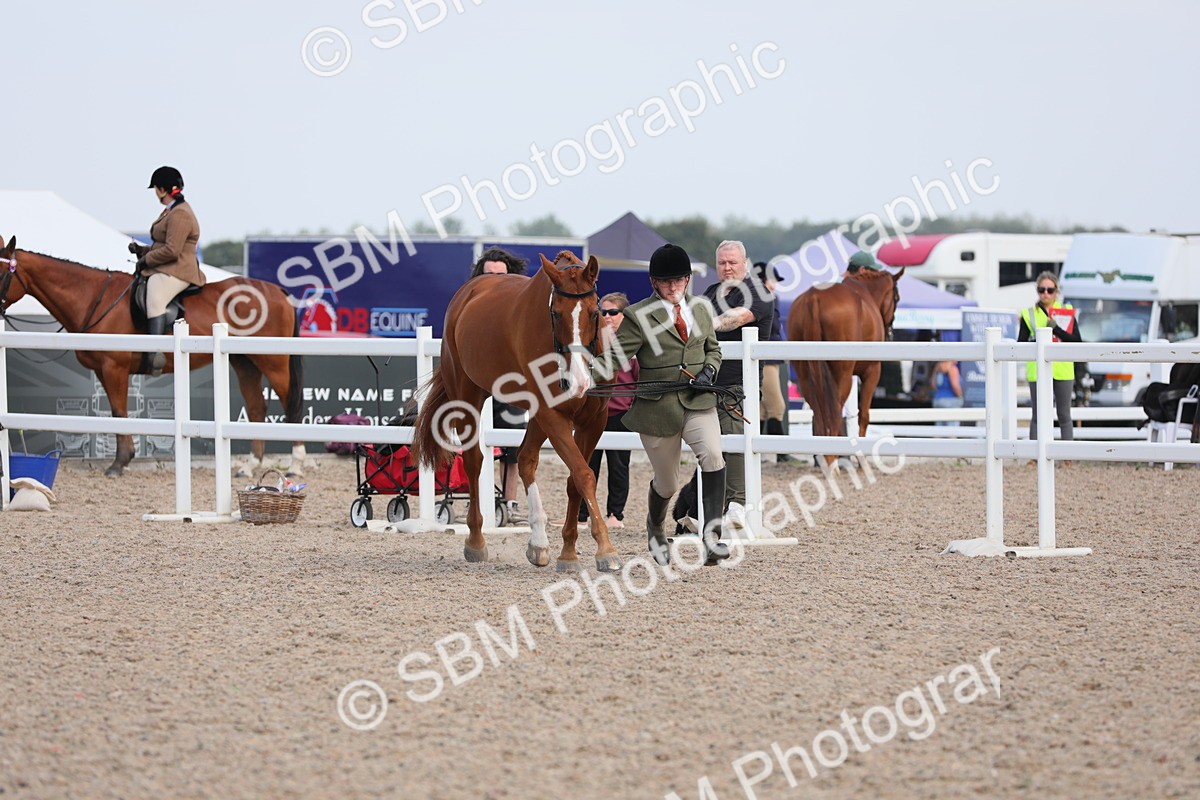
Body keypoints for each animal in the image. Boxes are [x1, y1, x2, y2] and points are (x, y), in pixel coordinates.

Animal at [0, 235, 307, 477]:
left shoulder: (114, 368)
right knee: (256, 407)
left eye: (2, 272)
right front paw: (122, 459)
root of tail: (277, 291)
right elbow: (115, 413)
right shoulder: (101, 370)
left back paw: (296, 465)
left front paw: (120, 463)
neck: (93, 298)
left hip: (273, 362)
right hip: (245, 363)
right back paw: (250, 466)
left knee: (291, 405)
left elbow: (119, 412)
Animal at [412, 251, 621, 573]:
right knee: (474, 461)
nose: (579, 382)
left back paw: (538, 544)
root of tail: (469, 291)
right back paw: (476, 541)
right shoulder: (553, 415)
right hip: (469, 396)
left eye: (594, 312)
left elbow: (575, 480)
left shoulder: (592, 421)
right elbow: (584, 474)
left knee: (525, 459)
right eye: (556, 313)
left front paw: (568, 553)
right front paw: (606, 550)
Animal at [786, 266, 904, 465]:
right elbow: (863, 415)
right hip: (842, 375)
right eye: (897, 298)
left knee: (819, 414)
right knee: (834, 413)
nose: (890, 333)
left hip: (805, 376)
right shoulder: (872, 372)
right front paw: (861, 461)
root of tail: (813, 298)